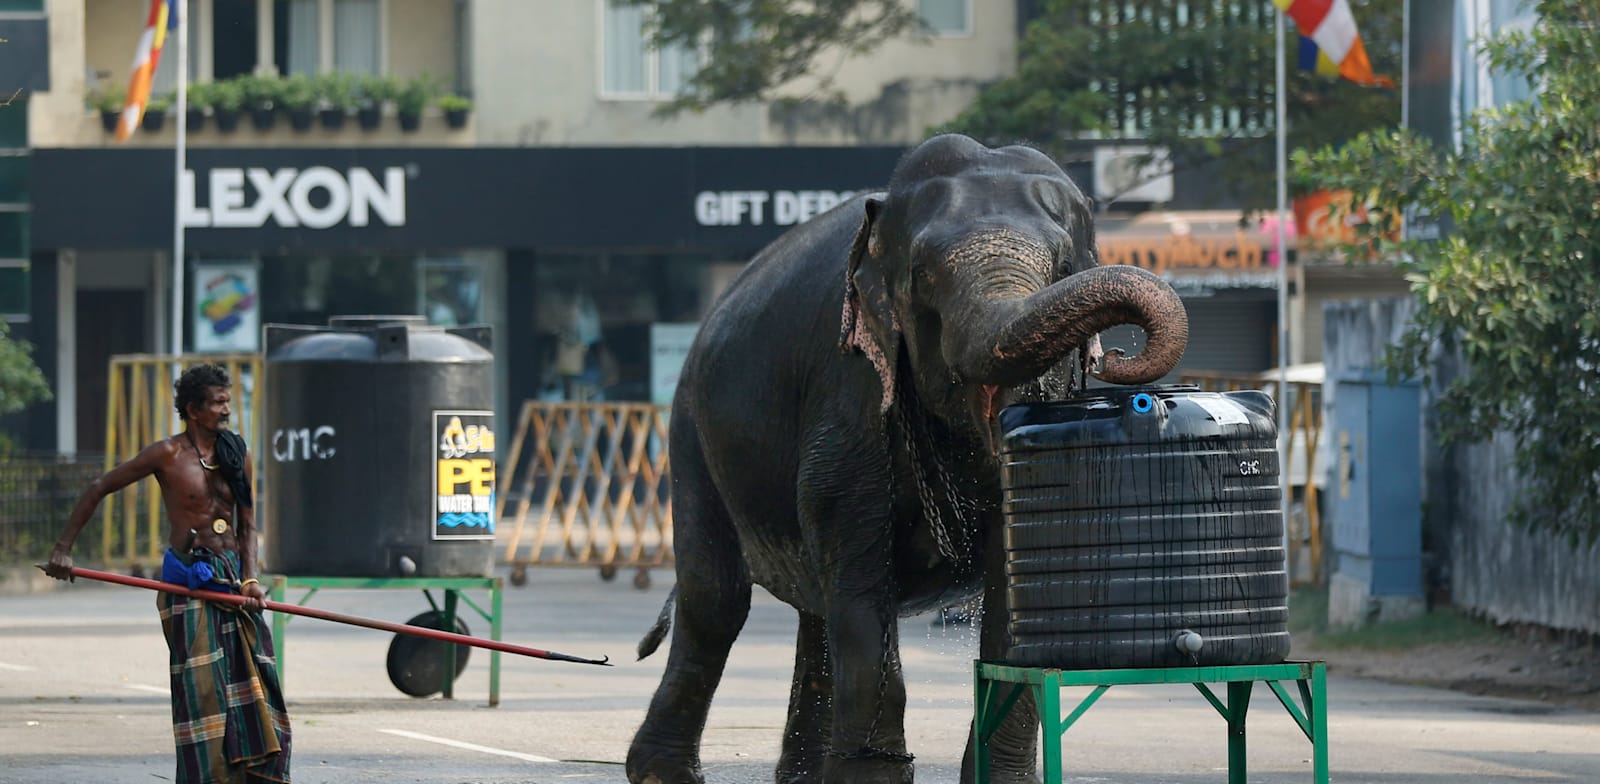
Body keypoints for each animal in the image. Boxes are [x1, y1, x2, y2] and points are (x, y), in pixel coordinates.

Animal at [624, 133, 1190, 784]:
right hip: (691, 433)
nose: (1119, 357)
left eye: (1065, 269)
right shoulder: (850, 388)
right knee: (716, 600)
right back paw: (661, 773)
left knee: (814, 612)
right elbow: (860, 580)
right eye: (924, 279)